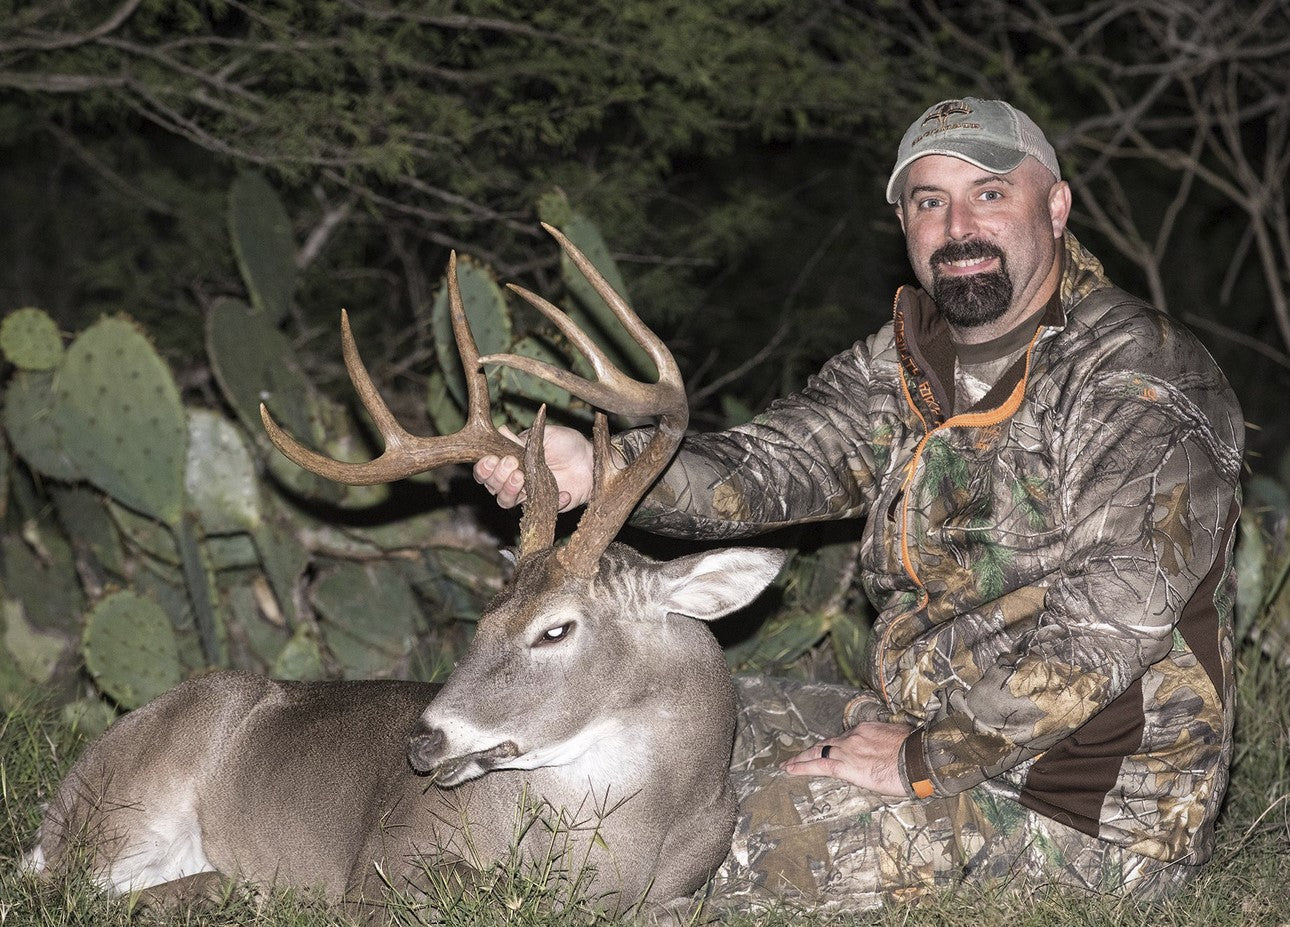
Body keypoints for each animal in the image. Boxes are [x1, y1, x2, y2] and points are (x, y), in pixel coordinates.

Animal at [24, 225, 785, 918]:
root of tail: (60, 805)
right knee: (75, 886)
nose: (423, 739)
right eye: (484, 619)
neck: (624, 850)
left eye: (555, 629)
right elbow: (486, 893)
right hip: (137, 789)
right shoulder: (387, 859)